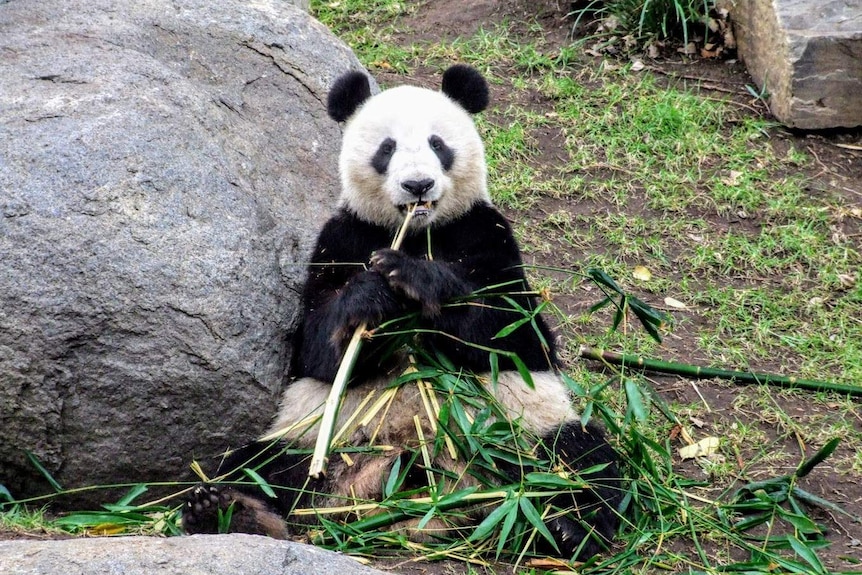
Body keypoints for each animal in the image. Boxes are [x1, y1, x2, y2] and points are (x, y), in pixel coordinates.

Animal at [184, 65, 620, 560]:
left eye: (438, 144)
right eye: (387, 149)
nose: (418, 185)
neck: (413, 232)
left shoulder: (486, 232)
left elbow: (515, 334)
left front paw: (414, 278)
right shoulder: (341, 238)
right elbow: (314, 348)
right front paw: (369, 297)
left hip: (523, 432)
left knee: (582, 458)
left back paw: (566, 525)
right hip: (312, 440)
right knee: (256, 467)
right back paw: (226, 512)